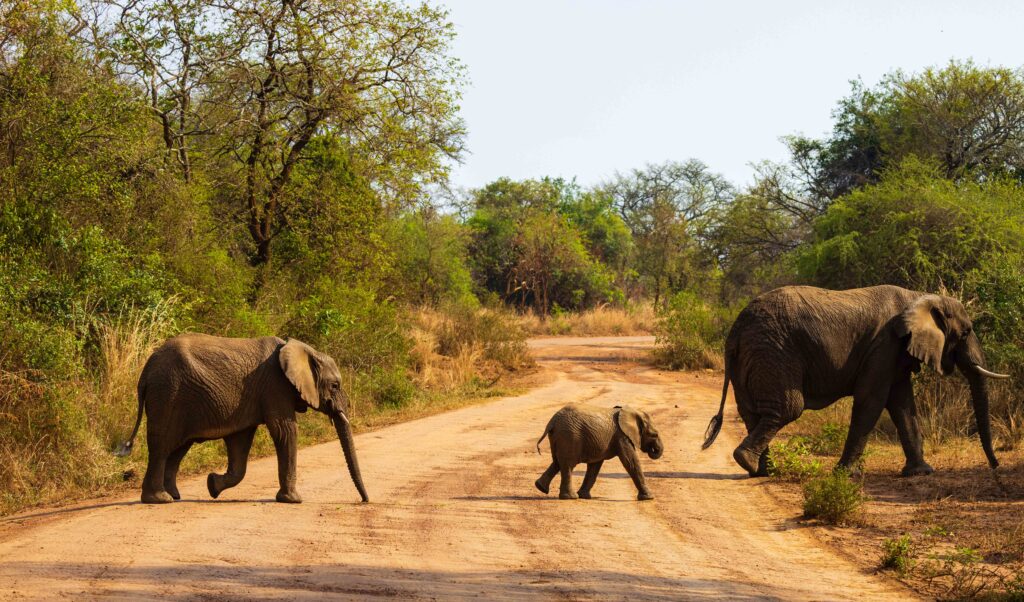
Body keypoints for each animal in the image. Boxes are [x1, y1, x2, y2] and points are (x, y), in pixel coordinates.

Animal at [118, 334, 369, 504]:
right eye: (335, 385)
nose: (364, 501)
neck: (301, 349)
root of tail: (146, 371)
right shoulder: (275, 387)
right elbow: (285, 431)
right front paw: (293, 500)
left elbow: (240, 443)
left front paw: (212, 485)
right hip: (167, 394)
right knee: (162, 446)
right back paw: (159, 499)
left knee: (178, 448)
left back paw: (174, 495)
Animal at [534, 404, 664, 500]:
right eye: (654, 434)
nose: (654, 450)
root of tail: (553, 421)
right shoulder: (622, 436)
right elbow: (631, 462)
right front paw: (649, 498)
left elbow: (594, 466)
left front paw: (584, 496)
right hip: (570, 436)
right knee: (568, 465)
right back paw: (570, 497)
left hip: (560, 436)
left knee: (557, 462)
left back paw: (541, 488)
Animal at [703, 285, 1010, 478]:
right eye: (966, 331)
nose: (996, 466)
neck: (919, 297)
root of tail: (735, 330)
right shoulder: (884, 345)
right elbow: (872, 400)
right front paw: (847, 474)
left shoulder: (894, 351)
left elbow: (902, 404)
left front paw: (920, 473)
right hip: (773, 352)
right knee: (787, 408)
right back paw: (750, 463)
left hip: (754, 356)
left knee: (753, 412)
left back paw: (761, 470)